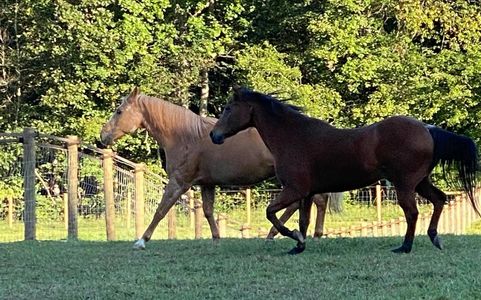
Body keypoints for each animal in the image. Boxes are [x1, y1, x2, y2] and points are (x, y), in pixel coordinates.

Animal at [98, 86, 342, 248]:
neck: (185, 136)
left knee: (314, 201)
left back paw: (303, 233)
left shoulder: (179, 182)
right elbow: (207, 211)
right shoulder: (207, 184)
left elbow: (161, 210)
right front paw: (216, 238)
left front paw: (141, 240)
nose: (103, 136)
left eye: (119, 111)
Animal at [210, 87, 476, 255]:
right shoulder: (306, 194)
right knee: (439, 200)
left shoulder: (294, 190)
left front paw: (294, 237)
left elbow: (271, 213)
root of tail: (428, 129)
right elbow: (304, 221)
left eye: (228, 108)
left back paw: (405, 247)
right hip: (419, 182)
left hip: (405, 184)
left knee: (412, 213)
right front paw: (298, 246)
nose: (214, 135)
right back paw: (435, 238)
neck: (294, 137)